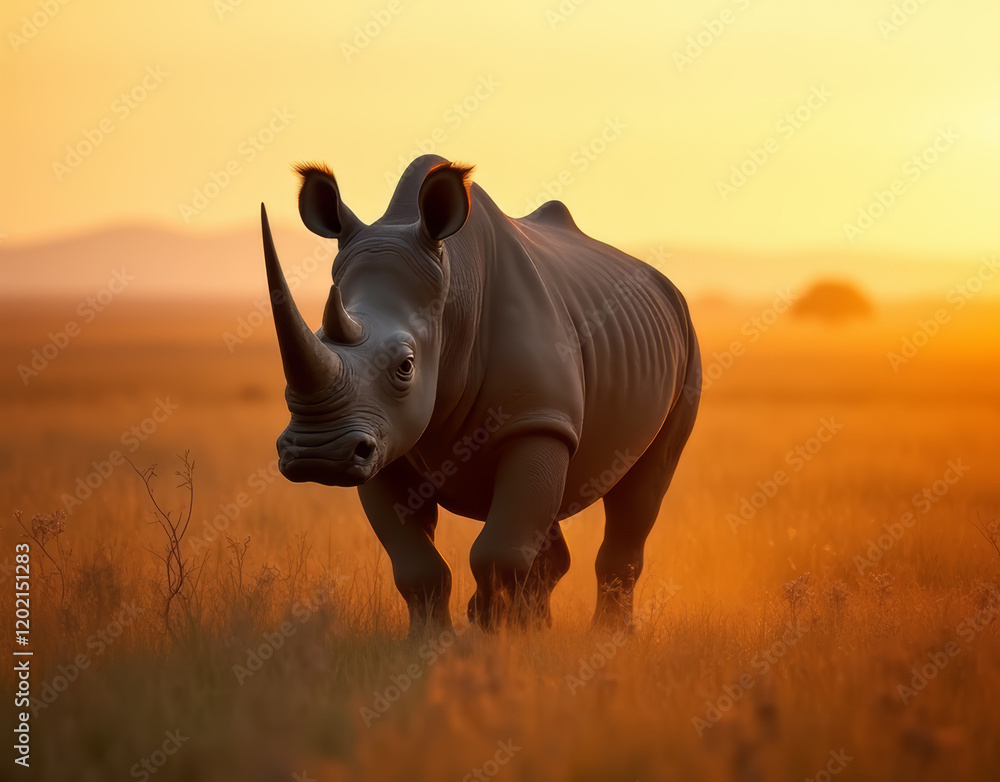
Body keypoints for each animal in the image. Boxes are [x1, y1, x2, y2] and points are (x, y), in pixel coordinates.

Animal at [261, 154, 700, 635]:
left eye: (405, 366)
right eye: (318, 338)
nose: (317, 454)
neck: (452, 298)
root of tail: (664, 283)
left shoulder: (536, 419)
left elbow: (496, 552)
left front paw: (489, 635)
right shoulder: (383, 437)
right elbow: (415, 564)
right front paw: (432, 643)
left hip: (686, 346)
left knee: (643, 486)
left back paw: (606, 636)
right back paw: (538, 632)